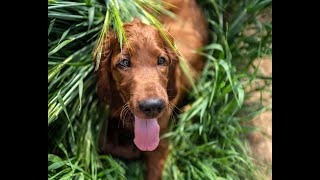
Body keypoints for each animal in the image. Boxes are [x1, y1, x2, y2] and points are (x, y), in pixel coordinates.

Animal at [95, 0, 208, 179]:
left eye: (161, 60)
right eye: (124, 62)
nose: (153, 106)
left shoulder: (160, 140)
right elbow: (104, 142)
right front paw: (132, 150)